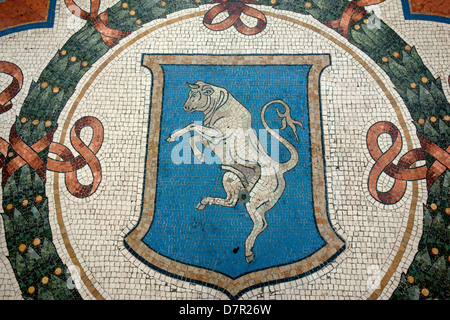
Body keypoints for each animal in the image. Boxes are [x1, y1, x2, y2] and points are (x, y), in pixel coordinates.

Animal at [165, 80, 302, 262]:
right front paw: (199, 155)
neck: (219, 108)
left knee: (260, 223)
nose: (186, 107)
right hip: (232, 178)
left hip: (256, 198)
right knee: (233, 203)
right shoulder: (211, 139)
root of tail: (280, 167)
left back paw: (248, 251)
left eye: (194, 94)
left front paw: (175, 138)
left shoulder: (216, 133)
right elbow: (193, 137)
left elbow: (192, 126)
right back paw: (206, 201)